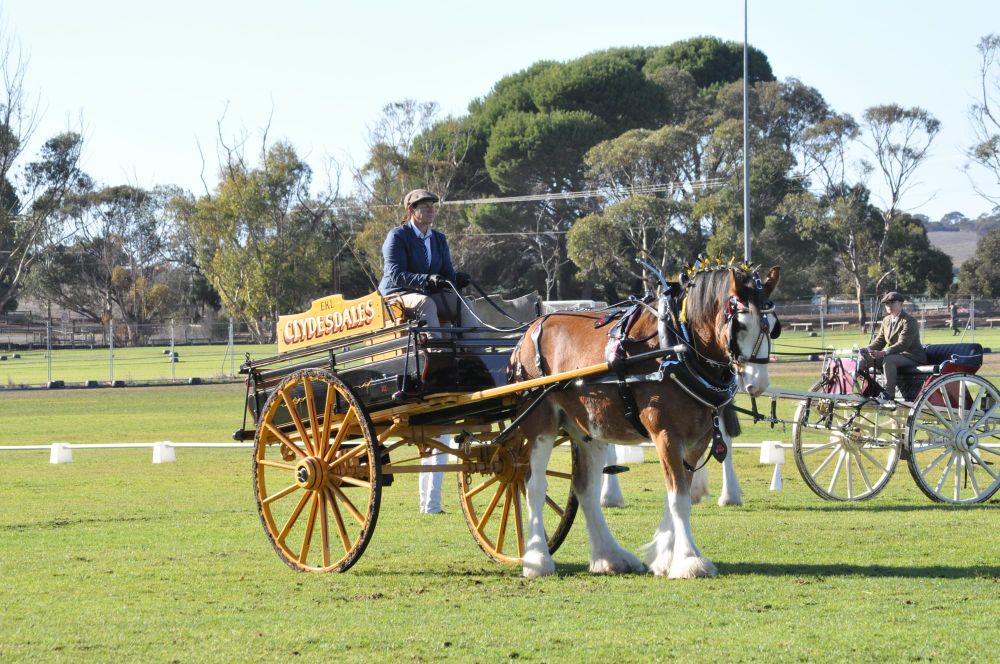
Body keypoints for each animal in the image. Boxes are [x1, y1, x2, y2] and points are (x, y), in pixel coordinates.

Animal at [509, 264, 780, 578]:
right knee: (534, 485)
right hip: (541, 425)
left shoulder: (696, 440)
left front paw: (665, 556)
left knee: (586, 489)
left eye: (773, 326)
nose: (757, 383)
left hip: (587, 430)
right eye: (741, 325)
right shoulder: (665, 434)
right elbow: (679, 498)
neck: (676, 347)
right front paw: (689, 559)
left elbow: (677, 494)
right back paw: (537, 560)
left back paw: (610, 556)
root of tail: (528, 332)